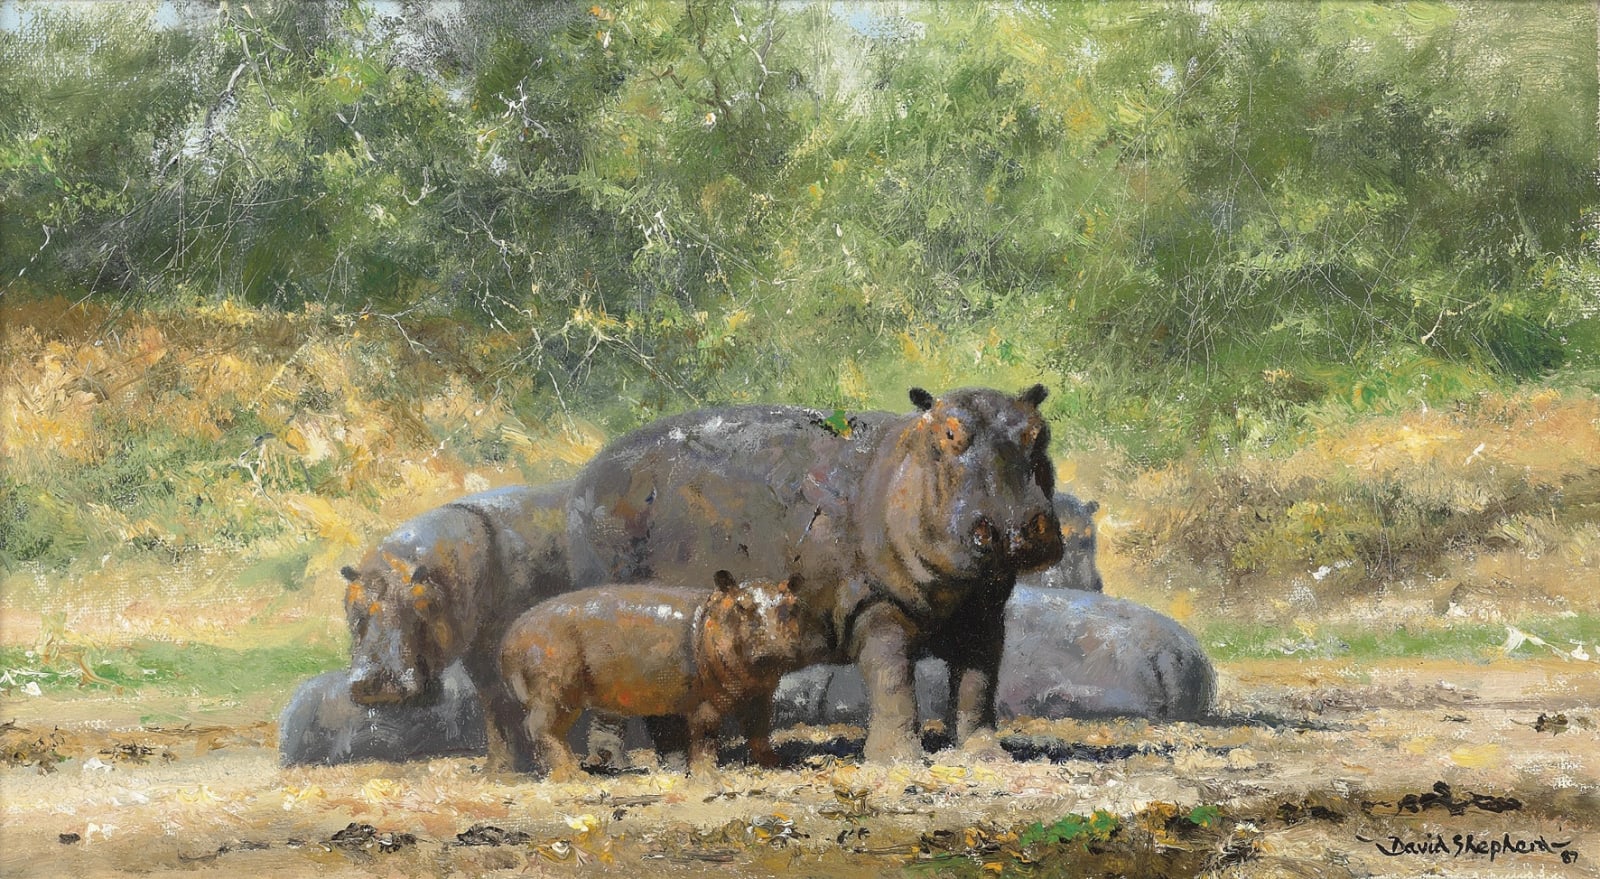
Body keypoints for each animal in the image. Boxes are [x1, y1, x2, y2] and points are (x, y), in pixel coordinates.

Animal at [501, 571, 807, 777]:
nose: (775, 647)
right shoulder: (703, 702)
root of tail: (511, 634)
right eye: (742, 606)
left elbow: (759, 730)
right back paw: (573, 774)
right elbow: (705, 737)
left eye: (792, 606)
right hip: (552, 694)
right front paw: (705, 774)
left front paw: (776, 763)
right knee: (541, 729)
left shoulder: (760, 696)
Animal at [565, 386, 1065, 762]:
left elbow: (978, 686)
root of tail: (586, 476)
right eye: (949, 433)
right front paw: (899, 761)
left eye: (1040, 433)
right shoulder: (875, 602)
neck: (908, 459)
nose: (1015, 527)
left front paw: (988, 757)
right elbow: (894, 682)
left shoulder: (985, 610)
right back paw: (612, 765)